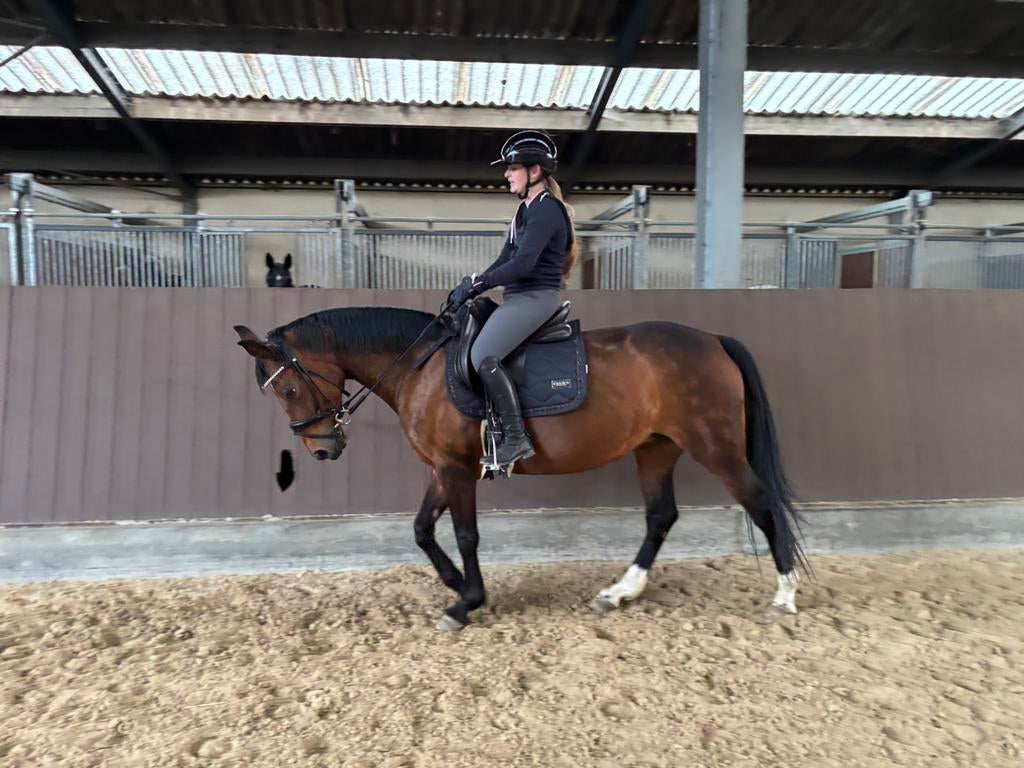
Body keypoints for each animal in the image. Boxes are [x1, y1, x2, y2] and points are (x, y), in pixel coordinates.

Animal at [235, 304, 809, 631]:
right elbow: (421, 529)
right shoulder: (441, 468)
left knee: (761, 503)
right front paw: (453, 584)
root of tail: (713, 340)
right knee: (660, 516)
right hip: (656, 447)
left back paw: (784, 596)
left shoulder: (456, 469)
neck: (421, 365)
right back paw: (619, 592)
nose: (322, 450)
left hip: (715, 446)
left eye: (289, 390)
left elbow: (465, 534)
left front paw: (466, 602)